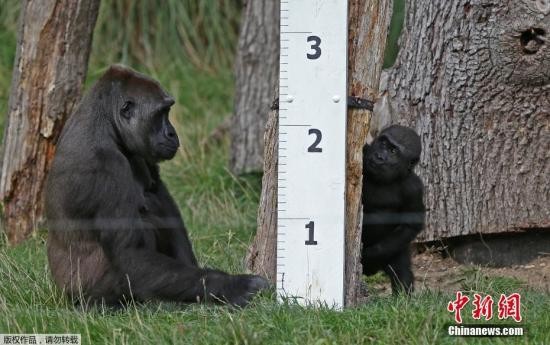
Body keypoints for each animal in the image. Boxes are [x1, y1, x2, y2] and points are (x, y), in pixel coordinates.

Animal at [47, 65, 270, 306]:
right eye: (160, 113)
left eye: (168, 111)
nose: (172, 133)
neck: (105, 123)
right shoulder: (104, 167)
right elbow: (130, 254)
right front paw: (234, 286)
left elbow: (160, 195)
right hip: (86, 294)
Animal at [362, 124, 426, 292]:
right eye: (383, 143)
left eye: (393, 151)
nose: (379, 157)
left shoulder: (414, 188)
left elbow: (411, 225)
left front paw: (369, 257)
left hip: (397, 248)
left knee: (401, 272)